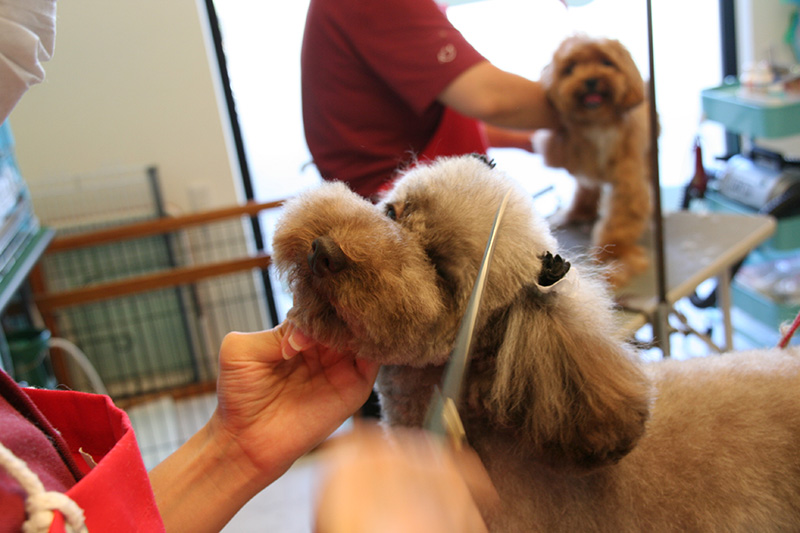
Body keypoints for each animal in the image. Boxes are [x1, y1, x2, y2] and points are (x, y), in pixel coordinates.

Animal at [536, 35, 652, 288]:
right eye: (570, 69)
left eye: (607, 63)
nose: (591, 80)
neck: (599, 124)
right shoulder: (581, 164)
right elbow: (585, 190)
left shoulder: (627, 179)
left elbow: (621, 219)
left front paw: (615, 257)